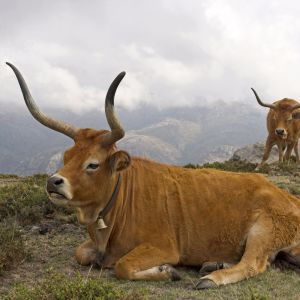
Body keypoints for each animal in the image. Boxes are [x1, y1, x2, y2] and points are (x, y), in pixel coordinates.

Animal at [7, 63, 300, 290]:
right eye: (66, 157)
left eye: (93, 164)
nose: (53, 182)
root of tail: (286, 196)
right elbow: (80, 253)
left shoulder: (164, 247)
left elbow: (122, 266)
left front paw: (167, 271)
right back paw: (213, 262)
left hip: (264, 230)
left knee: (254, 263)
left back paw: (211, 277)